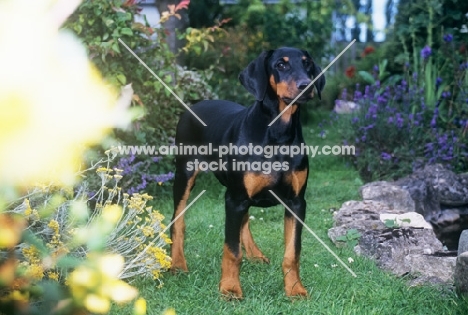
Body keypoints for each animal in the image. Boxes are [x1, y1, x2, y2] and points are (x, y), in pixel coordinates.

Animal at [169, 47, 326, 298]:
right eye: (280, 65)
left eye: (308, 64)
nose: (306, 85)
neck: (278, 134)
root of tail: (193, 107)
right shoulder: (235, 198)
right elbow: (232, 251)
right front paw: (230, 288)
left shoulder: (296, 202)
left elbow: (292, 252)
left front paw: (294, 289)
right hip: (185, 174)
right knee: (178, 220)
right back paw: (177, 264)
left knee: (243, 221)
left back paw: (254, 253)